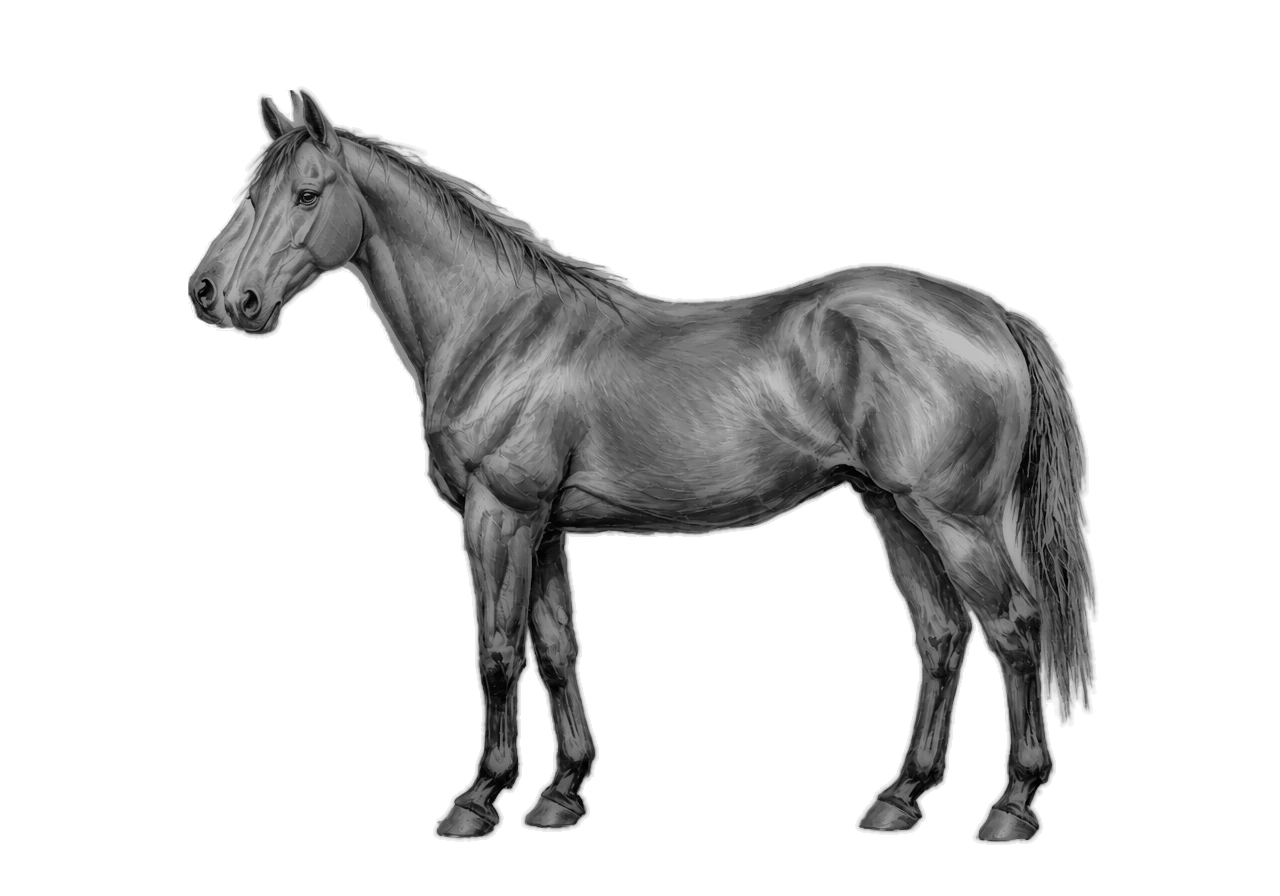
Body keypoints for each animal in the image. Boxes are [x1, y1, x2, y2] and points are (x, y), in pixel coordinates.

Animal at [187, 89, 1093, 842]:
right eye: (253, 193)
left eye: (308, 193)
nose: (217, 295)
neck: (497, 331)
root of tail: (989, 315)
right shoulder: (544, 527)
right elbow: (556, 650)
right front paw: (561, 795)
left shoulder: (499, 515)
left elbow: (496, 651)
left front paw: (479, 800)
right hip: (892, 510)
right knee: (942, 636)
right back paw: (899, 799)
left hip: (955, 519)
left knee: (1015, 627)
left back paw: (1013, 807)